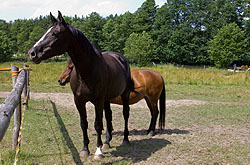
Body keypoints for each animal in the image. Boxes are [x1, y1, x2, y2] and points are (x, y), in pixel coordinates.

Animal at [27, 11, 135, 160]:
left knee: (125, 114)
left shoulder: (98, 101)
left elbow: (97, 124)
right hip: (107, 99)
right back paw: (107, 142)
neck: (87, 70)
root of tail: (121, 58)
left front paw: (98, 151)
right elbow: (84, 124)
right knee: (109, 116)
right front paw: (85, 150)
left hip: (124, 94)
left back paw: (125, 139)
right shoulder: (79, 100)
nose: (32, 53)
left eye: (55, 33)